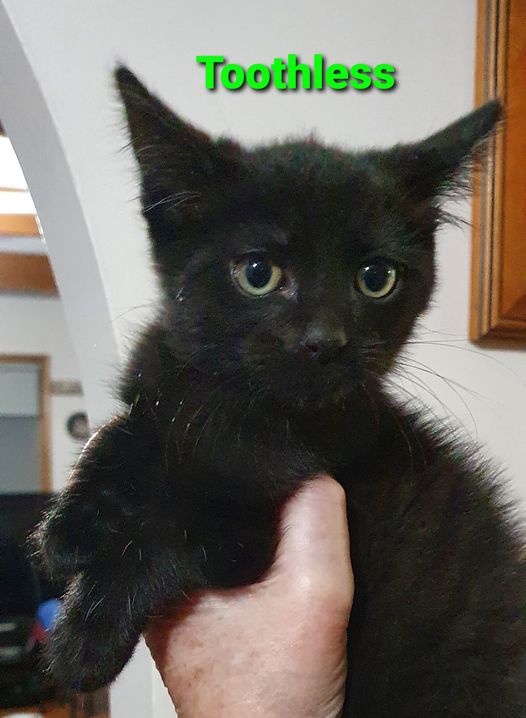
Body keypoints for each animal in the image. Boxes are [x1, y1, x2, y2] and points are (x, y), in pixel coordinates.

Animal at [34, 66, 526, 716]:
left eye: (377, 278)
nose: (324, 340)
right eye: (258, 273)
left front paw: (84, 635)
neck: (241, 408)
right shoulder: (163, 383)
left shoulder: (244, 536)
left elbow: (169, 526)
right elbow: (138, 423)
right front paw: (71, 520)